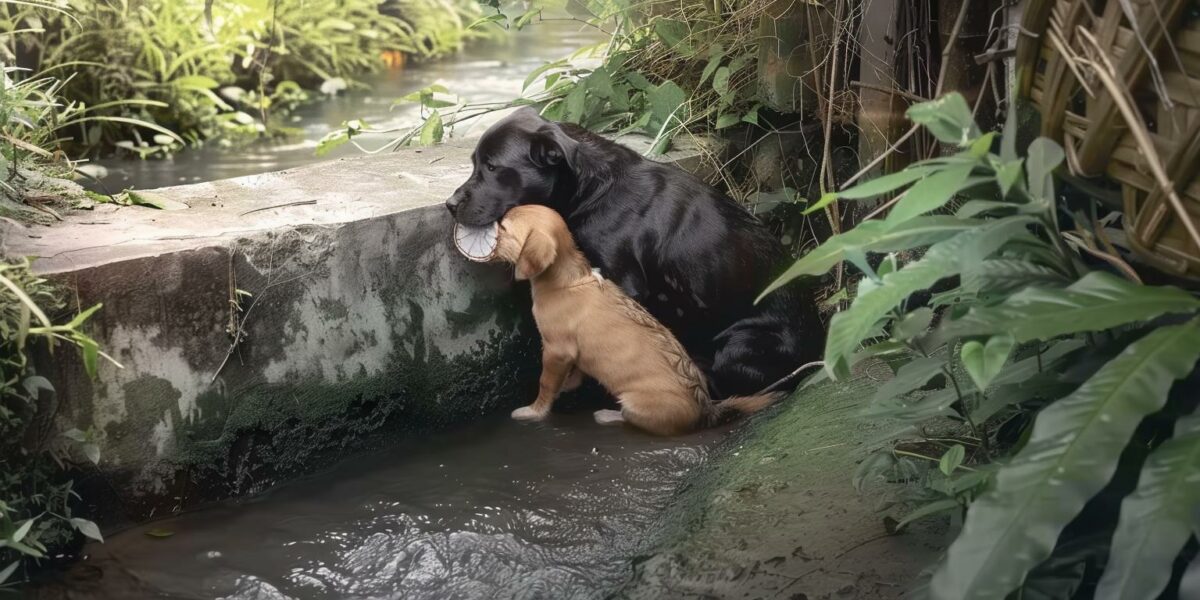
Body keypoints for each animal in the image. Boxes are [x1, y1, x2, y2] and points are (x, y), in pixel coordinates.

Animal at [446, 108, 820, 398]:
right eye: (474, 163)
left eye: (492, 167)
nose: (450, 204)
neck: (591, 190)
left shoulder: (624, 284)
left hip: (741, 344)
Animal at [492, 206, 782, 436]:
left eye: (504, 227)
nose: (489, 227)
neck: (568, 279)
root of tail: (706, 410)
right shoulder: (571, 352)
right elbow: (575, 373)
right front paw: (568, 384)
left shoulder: (556, 350)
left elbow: (546, 384)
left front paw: (533, 410)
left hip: (633, 402)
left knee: (629, 419)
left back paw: (606, 415)